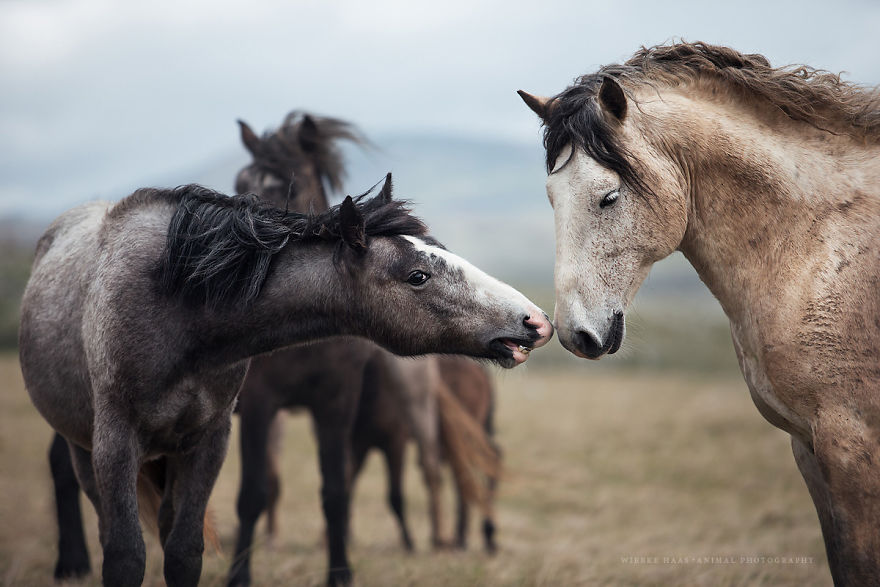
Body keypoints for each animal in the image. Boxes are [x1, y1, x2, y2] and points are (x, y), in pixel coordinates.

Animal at [19, 180, 553, 587]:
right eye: (417, 275)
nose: (535, 320)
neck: (178, 304)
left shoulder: (209, 441)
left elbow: (185, 550)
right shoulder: (116, 442)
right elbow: (126, 554)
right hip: (81, 437)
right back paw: (70, 565)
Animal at [229, 113, 502, 587]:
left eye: (289, 185)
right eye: (239, 182)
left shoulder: (336, 402)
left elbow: (336, 491)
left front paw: (340, 572)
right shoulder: (261, 403)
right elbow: (253, 493)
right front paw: (239, 574)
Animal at [518, 41, 880, 585]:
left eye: (609, 196)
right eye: (551, 197)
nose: (574, 334)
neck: (815, 248)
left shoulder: (851, 447)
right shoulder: (808, 448)